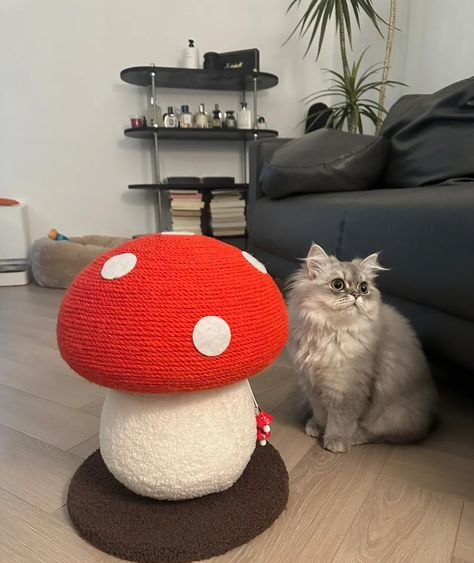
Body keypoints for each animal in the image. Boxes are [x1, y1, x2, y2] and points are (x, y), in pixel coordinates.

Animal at [286, 245, 436, 456]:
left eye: (364, 288)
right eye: (338, 284)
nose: (356, 295)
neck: (330, 332)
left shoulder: (347, 387)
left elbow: (340, 420)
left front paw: (336, 441)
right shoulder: (312, 383)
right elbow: (320, 411)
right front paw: (317, 427)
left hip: (394, 416)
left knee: (382, 435)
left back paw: (355, 437)